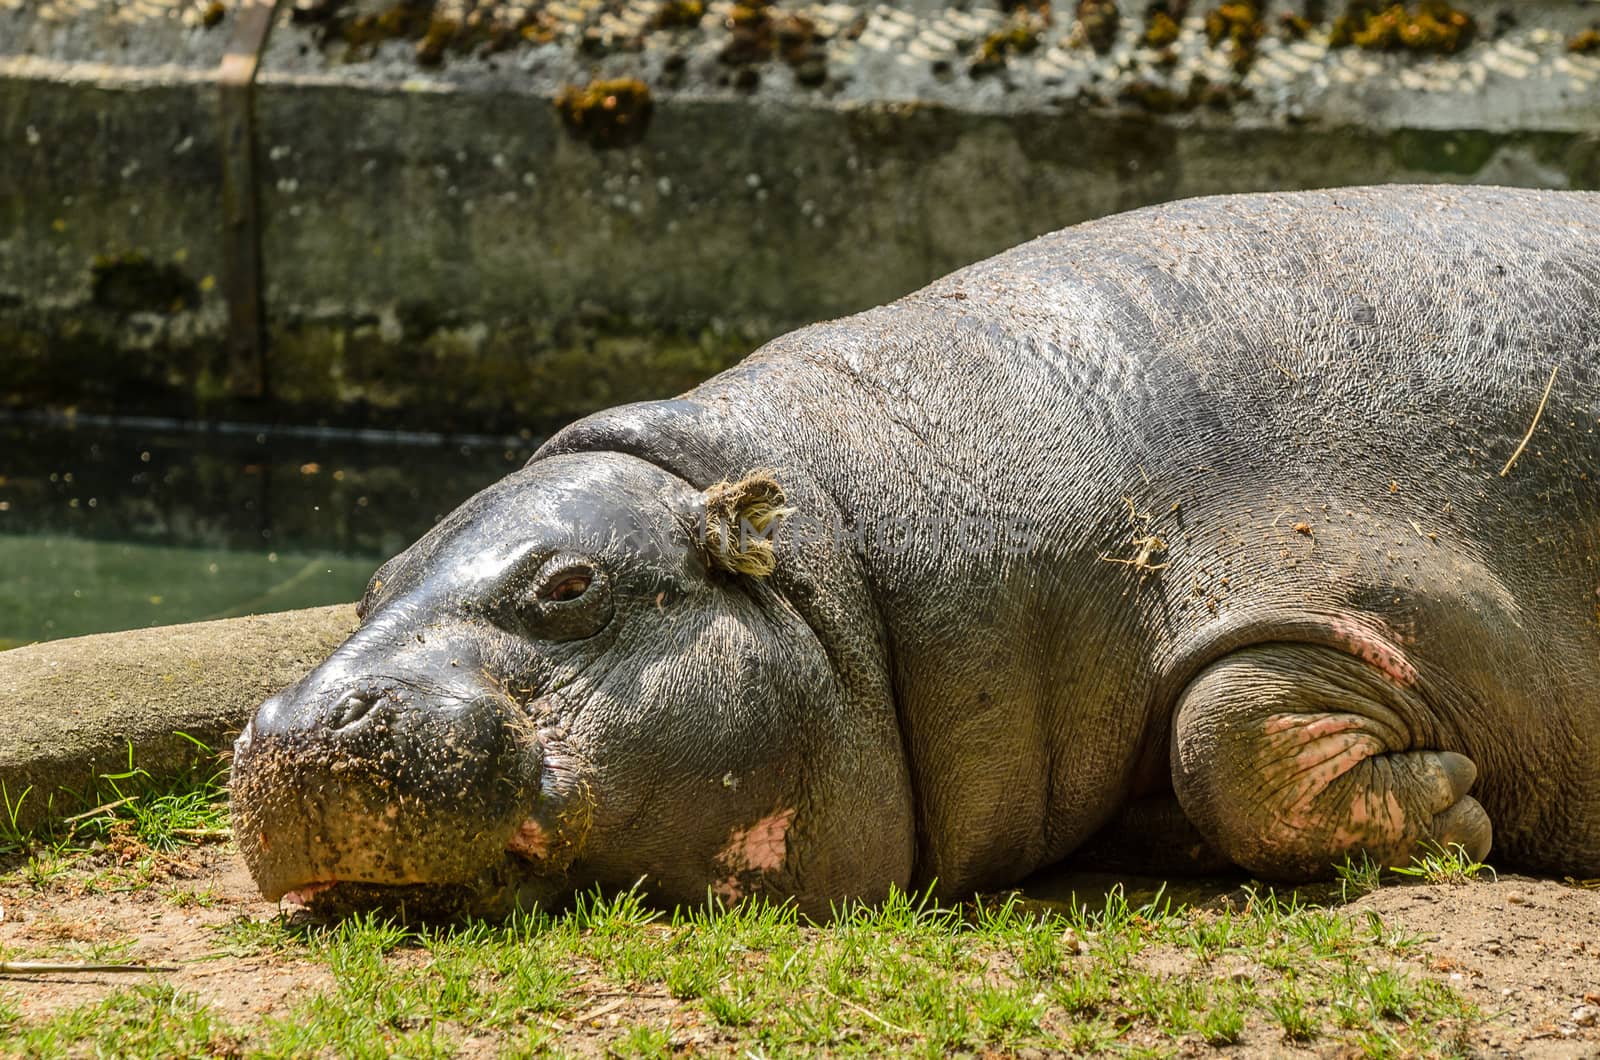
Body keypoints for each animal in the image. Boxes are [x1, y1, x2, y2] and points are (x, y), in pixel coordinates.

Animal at [232, 184, 1600, 922]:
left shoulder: (1381, 587)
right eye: (370, 582)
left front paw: (1461, 805)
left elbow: (1227, 736)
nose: (297, 721)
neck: (838, 550)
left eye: (569, 585)